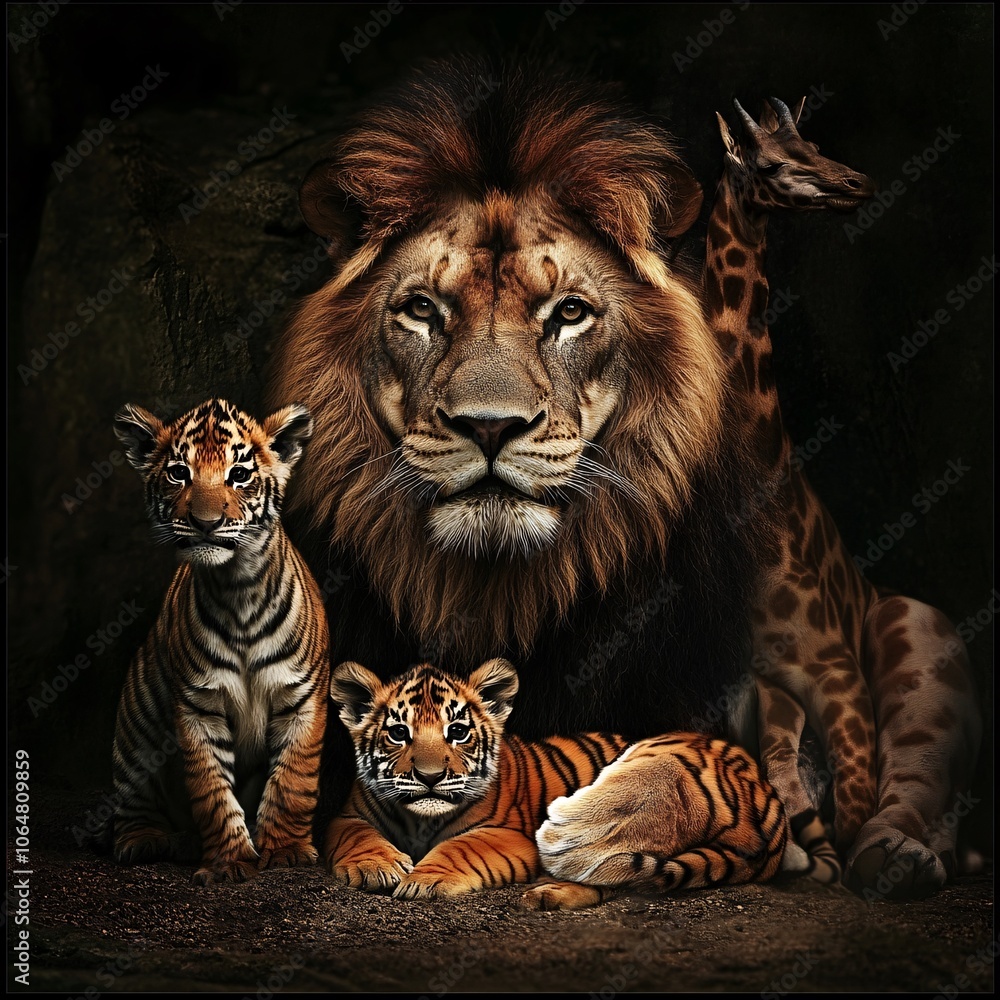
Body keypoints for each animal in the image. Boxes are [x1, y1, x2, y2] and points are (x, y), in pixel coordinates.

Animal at [109, 398, 329, 884]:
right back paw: (145, 841)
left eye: (239, 474)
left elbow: (293, 780)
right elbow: (211, 790)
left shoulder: (302, 699)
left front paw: (285, 851)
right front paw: (229, 862)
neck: (237, 587)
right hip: (135, 724)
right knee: (133, 799)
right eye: (179, 473)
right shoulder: (198, 707)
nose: (206, 523)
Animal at [325, 658, 787, 909]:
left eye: (457, 731)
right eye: (397, 733)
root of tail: (772, 807)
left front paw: (424, 880)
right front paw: (376, 867)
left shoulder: (507, 835)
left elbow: (460, 847)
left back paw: (548, 891)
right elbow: (356, 836)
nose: (430, 777)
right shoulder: (347, 815)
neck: (419, 820)